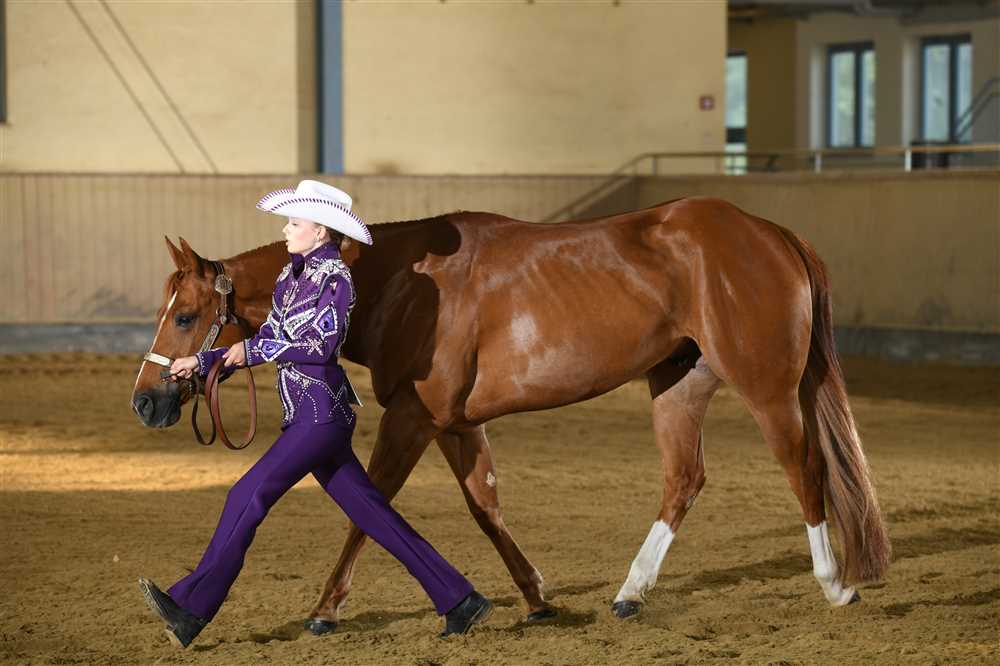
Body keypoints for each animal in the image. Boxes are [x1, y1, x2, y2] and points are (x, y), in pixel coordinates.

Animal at [131, 196, 890, 630]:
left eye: (187, 315)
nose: (147, 398)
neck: (403, 284)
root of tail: (771, 233)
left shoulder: (414, 419)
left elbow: (370, 508)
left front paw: (324, 609)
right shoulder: (457, 424)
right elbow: (484, 508)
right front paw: (534, 598)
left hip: (765, 386)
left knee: (804, 468)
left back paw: (836, 585)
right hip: (677, 384)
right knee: (684, 481)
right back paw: (630, 594)